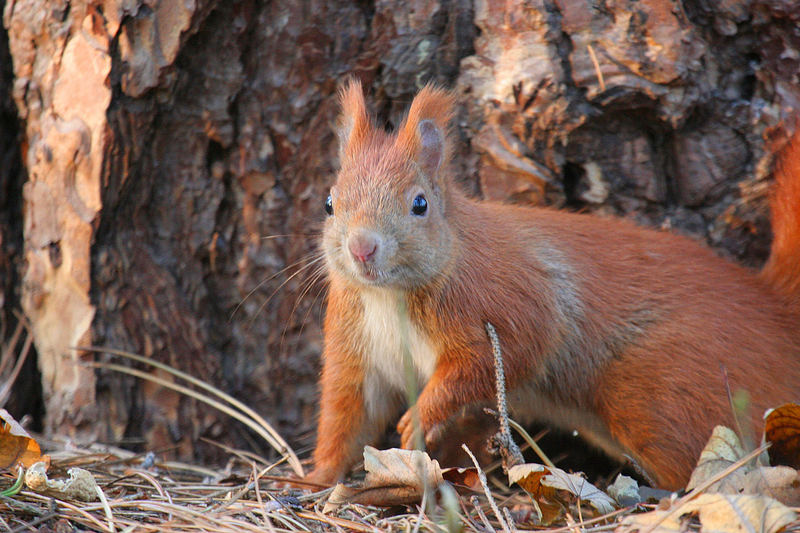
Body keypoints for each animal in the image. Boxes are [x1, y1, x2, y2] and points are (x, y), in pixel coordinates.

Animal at [310, 80, 800, 490]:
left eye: (419, 204)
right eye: (330, 202)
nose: (362, 248)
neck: (389, 296)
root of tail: (772, 308)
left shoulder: (510, 304)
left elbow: (495, 360)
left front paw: (421, 414)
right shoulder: (356, 349)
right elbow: (345, 416)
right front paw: (317, 478)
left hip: (666, 387)